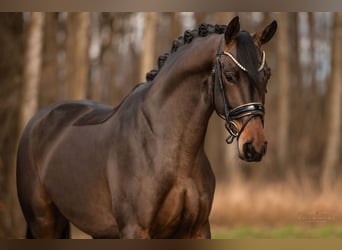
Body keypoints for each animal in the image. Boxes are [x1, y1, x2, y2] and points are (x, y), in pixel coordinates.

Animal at [17, 16, 276, 239]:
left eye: (267, 75)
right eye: (230, 75)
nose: (255, 146)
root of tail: (37, 120)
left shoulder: (198, 229)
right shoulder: (135, 229)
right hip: (44, 223)